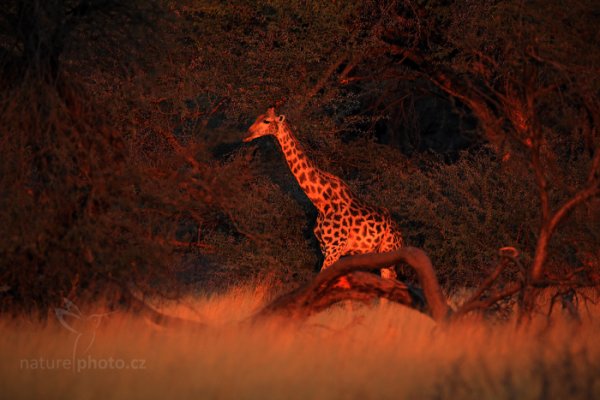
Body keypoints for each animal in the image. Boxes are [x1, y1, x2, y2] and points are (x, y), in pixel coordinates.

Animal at [243, 108, 404, 284]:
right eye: (258, 117)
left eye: (266, 121)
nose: (247, 134)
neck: (321, 201)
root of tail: (400, 235)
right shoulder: (326, 249)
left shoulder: (334, 249)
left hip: (388, 253)